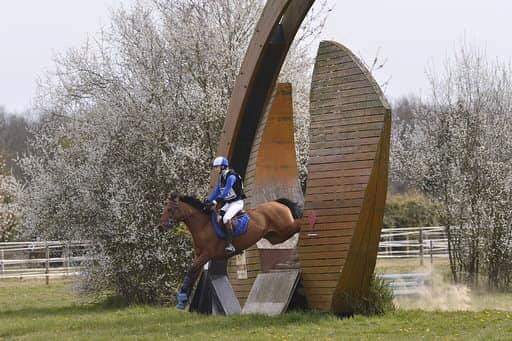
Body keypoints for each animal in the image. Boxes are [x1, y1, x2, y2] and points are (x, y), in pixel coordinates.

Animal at [160, 193, 302, 310]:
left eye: (169, 209)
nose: (162, 225)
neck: (203, 226)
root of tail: (277, 203)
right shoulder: (199, 256)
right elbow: (192, 273)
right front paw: (182, 300)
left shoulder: (206, 254)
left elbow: (192, 270)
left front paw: (182, 299)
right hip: (277, 236)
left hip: (285, 228)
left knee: (298, 224)